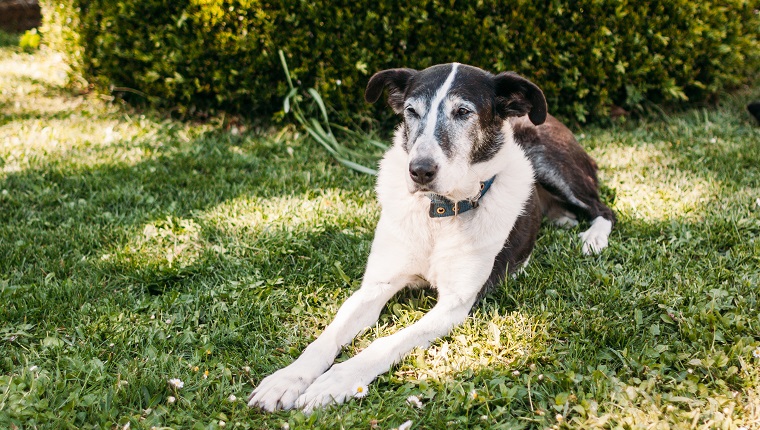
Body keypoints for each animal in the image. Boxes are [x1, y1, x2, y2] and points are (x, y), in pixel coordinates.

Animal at [246, 62, 616, 412]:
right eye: (411, 111)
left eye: (463, 112)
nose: (419, 170)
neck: (439, 213)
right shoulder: (375, 286)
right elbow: (326, 337)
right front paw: (287, 380)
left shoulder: (455, 304)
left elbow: (386, 342)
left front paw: (336, 381)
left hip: (553, 162)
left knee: (605, 208)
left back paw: (592, 238)